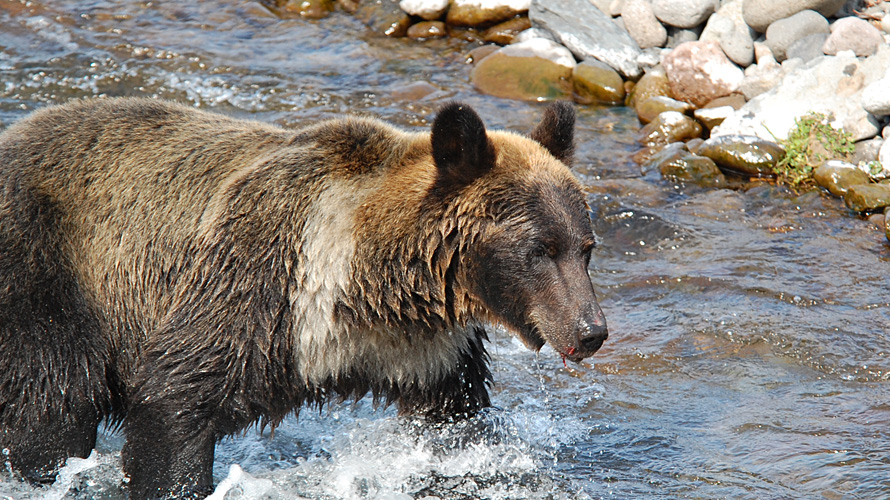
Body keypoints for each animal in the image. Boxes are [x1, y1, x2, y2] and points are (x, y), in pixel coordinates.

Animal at [0, 96, 608, 496]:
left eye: (585, 247)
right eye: (540, 249)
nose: (590, 331)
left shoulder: (424, 350)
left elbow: (453, 424)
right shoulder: (263, 287)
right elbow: (175, 395)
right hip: (47, 274)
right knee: (51, 404)